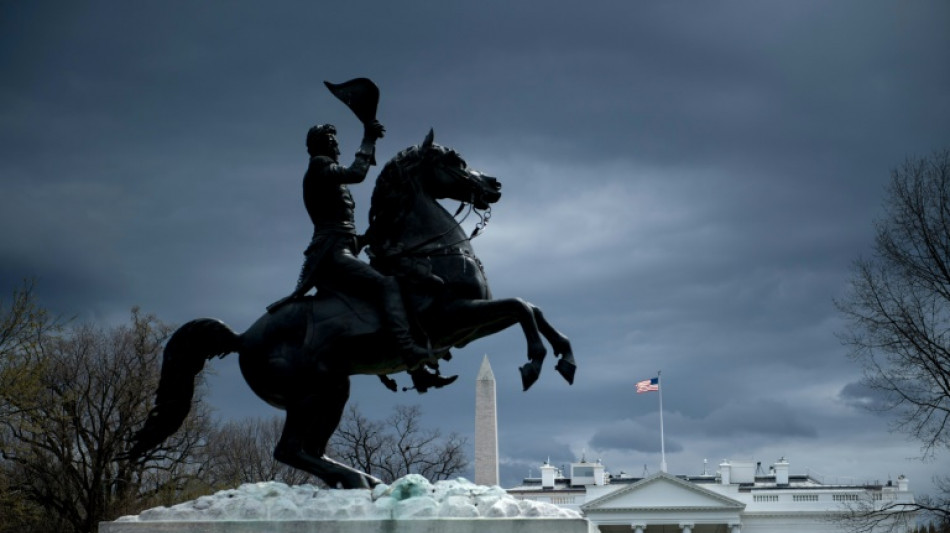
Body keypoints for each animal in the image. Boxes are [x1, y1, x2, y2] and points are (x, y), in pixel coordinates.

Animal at [125, 129, 572, 486]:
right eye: (456, 162)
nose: (495, 184)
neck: (429, 251)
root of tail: (243, 337)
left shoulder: (469, 323)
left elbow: (533, 308)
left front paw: (565, 357)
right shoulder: (454, 318)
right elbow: (520, 307)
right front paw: (533, 363)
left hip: (331, 391)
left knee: (307, 448)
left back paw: (361, 479)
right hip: (314, 392)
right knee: (289, 450)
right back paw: (357, 480)